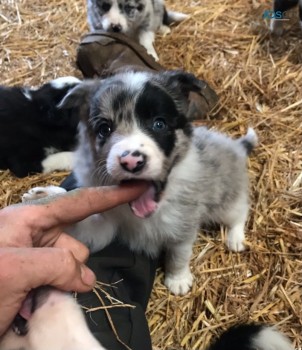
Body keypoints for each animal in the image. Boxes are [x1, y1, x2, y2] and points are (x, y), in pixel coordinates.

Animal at [21, 70, 258, 296]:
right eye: (104, 129)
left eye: (159, 124)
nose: (131, 161)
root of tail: (236, 146)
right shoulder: (106, 226)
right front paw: (46, 197)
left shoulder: (183, 226)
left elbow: (178, 255)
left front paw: (178, 280)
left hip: (227, 199)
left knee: (240, 211)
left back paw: (236, 238)